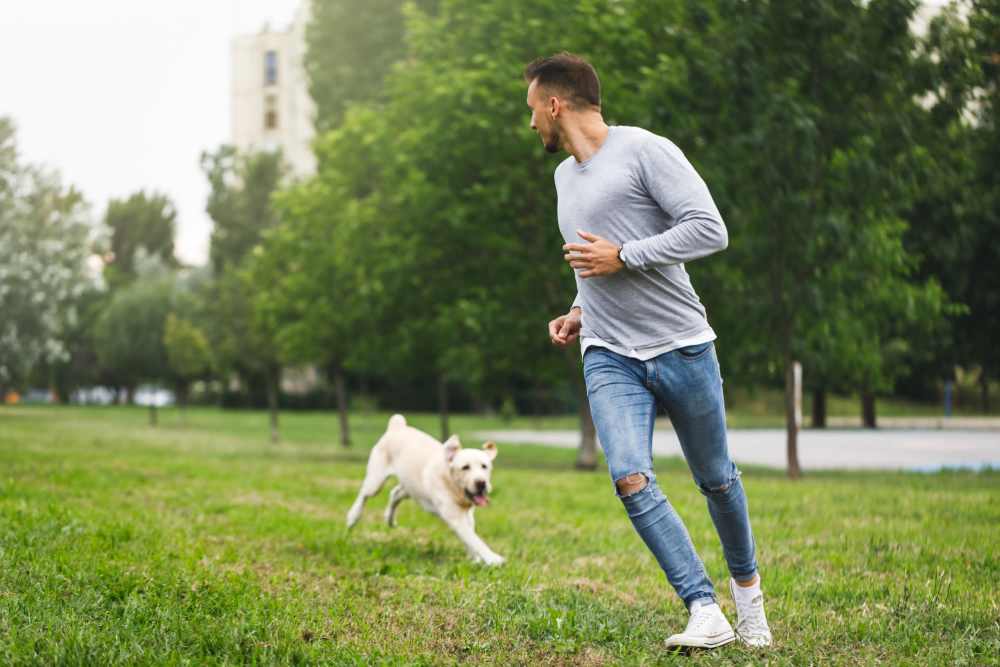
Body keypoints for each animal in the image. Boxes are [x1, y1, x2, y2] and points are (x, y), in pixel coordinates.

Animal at [346, 414, 504, 568]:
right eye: (465, 467)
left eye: (484, 466)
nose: (481, 483)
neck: (452, 485)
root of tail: (397, 426)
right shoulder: (455, 518)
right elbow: (474, 539)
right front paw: (493, 558)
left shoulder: (468, 516)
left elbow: (470, 538)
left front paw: (476, 559)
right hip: (376, 481)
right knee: (364, 494)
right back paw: (353, 517)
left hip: (410, 486)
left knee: (395, 493)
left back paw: (389, 519)